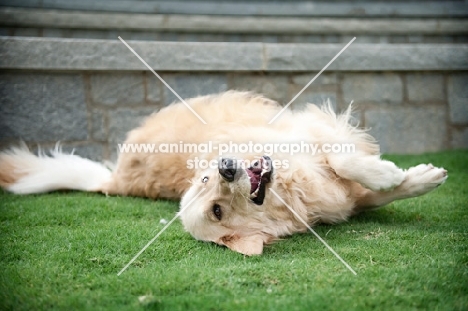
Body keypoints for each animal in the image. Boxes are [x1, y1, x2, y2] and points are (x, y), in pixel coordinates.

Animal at [0, 91, 446, 256]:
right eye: (217, 211)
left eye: (204, 181)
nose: (226, 167)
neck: (291, 187)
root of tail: (115, 181)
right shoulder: (332, 179)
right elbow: (361, 176)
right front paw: (397, 175)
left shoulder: (305, 133)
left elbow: (347, 162)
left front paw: (410, 175)